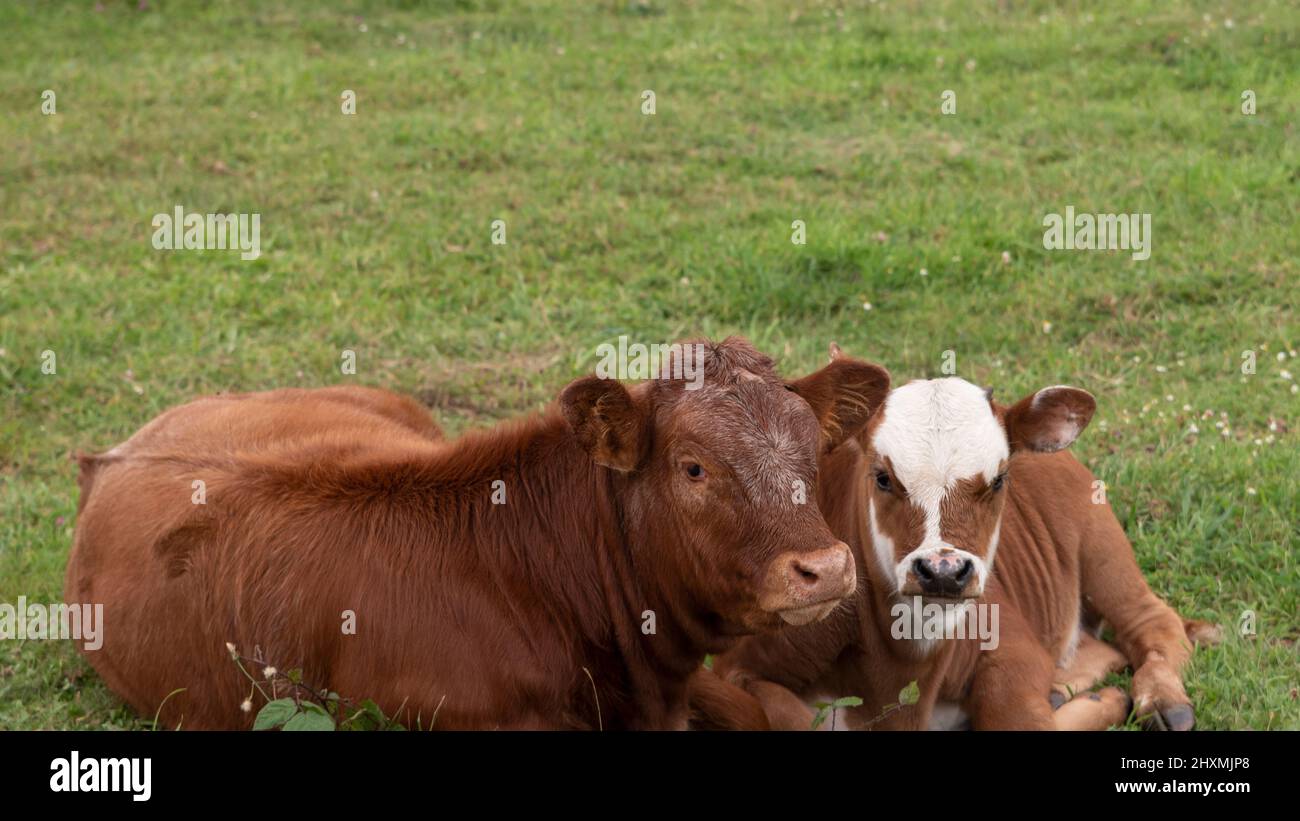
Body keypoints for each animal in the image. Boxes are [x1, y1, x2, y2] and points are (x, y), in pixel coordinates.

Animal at [702, 345, 1206, 732]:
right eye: (882, 477)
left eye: (999, 479)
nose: (942, 570)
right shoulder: (740, 662)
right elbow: (787, 714)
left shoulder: (1012, 646)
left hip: (1101, 546)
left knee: (1153, 621)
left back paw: (1162, 702)